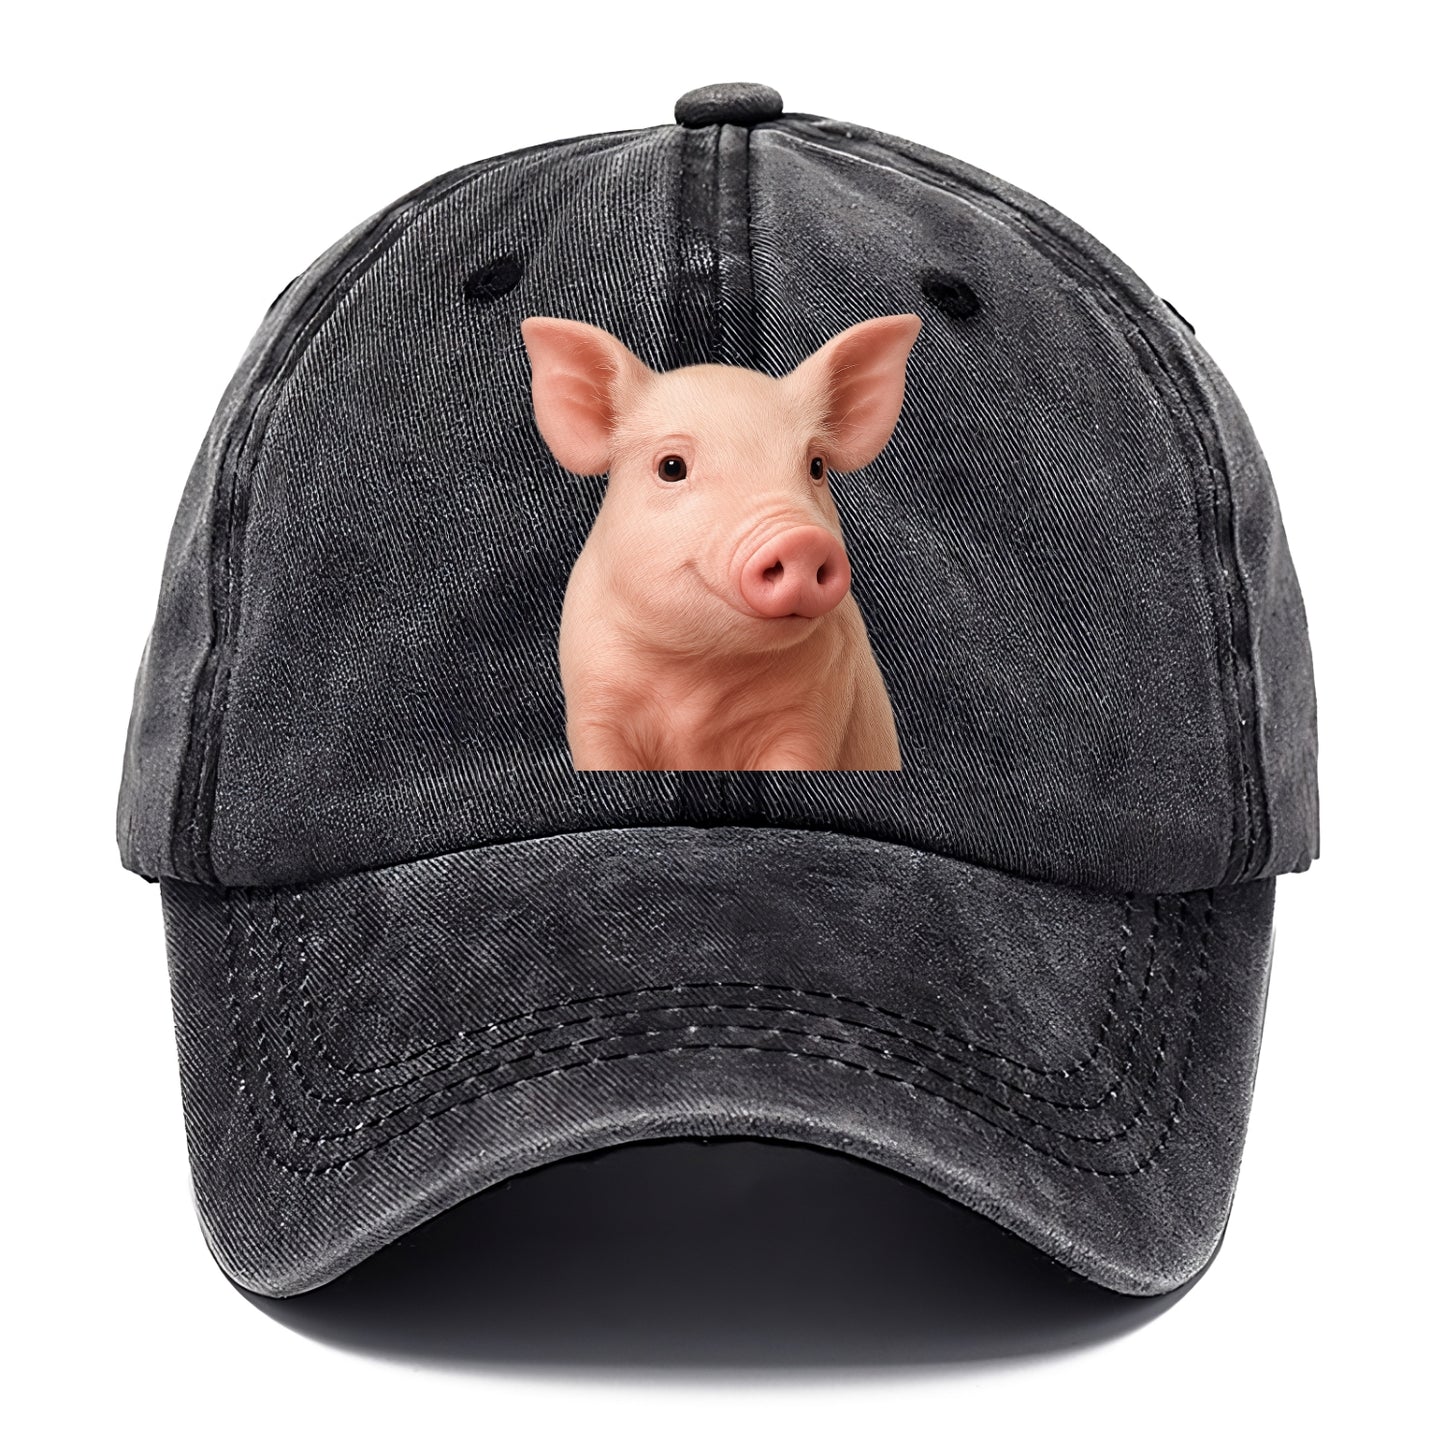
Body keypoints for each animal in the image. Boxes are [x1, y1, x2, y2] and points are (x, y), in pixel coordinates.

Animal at [520, 312, 921, 771]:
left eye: (816, 466)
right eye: (671, 467)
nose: (801, 541)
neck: (701, 673)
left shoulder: (814, 715)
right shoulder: (593, 703)